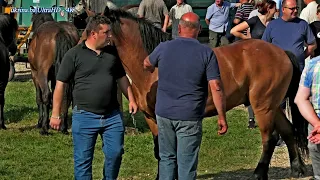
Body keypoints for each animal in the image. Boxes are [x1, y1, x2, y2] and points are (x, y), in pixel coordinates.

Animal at [104, 9, 308, 179]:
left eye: (99, 27)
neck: (152, 67)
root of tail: (281, 52)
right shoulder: (151, 118)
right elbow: (160, 149)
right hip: (273, 105)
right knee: (288, 130)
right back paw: (297, 169)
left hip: (262, 106)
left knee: (270, 137)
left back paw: (259, 174)